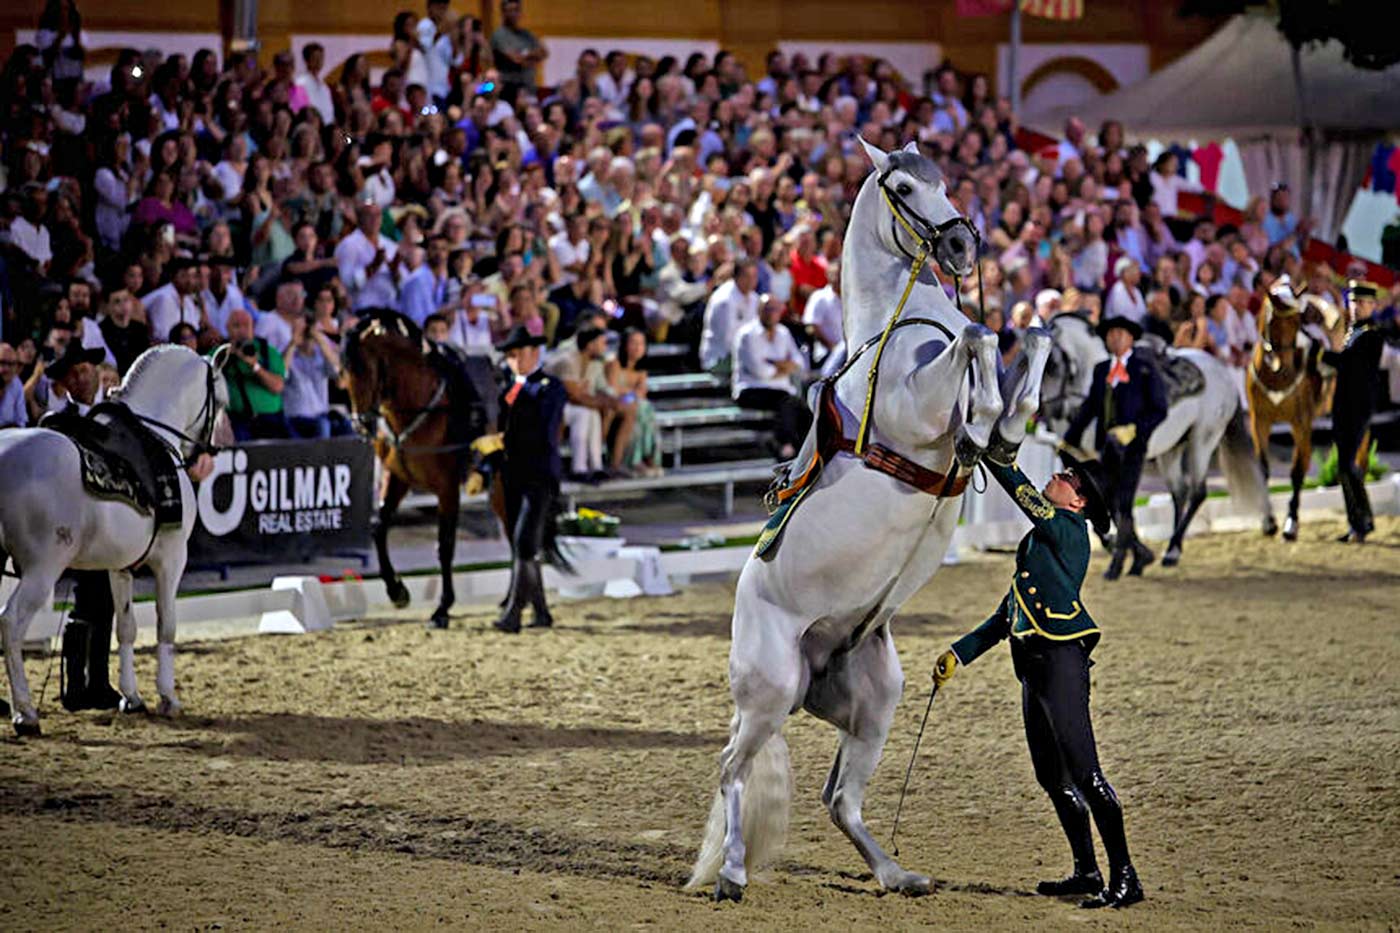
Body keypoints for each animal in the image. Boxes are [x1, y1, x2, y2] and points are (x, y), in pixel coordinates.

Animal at [343, 311, 498, 624]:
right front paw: (397, 591)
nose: (361, 424)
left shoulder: (447, 488)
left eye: (364, 369)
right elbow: (378, 527)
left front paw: (443, 607)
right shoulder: (397, 478)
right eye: (344, 372)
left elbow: (445, 545)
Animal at [1041, 312, 1271, 563]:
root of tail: (1223, 374)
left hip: (1202, 441)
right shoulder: (1079, 459)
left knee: (1197, 492)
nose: (1049, 412)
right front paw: (1114, 543)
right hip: (1172, 449)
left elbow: (1114, 502)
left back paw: (1173, 549)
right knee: (1180, 492)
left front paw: (1132, 548)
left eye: (1052, 365)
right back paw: (1173, 547)